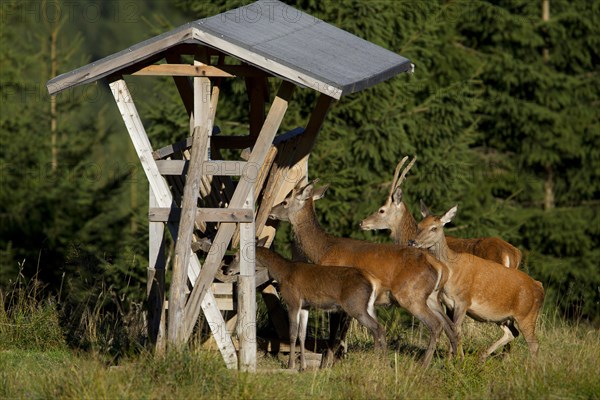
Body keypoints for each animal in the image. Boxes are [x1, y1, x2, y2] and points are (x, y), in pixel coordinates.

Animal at [227, 247, 386, 372]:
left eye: (236, 256)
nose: (227, 270)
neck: (282, 274)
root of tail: (374, 281)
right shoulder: (305, 306)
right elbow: (302, 335)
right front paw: (302, 366)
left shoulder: (293, 301)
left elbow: (292, 334)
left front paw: (290, 365)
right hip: (369, 306)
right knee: (381, 327)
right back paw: (385, 362)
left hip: (355, 305)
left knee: (376, 327)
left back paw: (377, 361)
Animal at [270, 180, 458, 368]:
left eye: (285, 201)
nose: (271, 211)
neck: (323, 250)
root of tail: (439, 265)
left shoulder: (336, 294)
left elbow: (334, 332)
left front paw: (326, 363)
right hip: (431, 297)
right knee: (451, 325)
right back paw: (455, 362)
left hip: (410, 295)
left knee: (436, 325)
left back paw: (423, 365)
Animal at [408, 205, 544, 360]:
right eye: (419, 225)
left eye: (434, 228)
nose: (412, 241)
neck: (452, 271)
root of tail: (540, 287)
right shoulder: (448, 303)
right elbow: (451, 329)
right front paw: (452, 359)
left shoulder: (463, 301)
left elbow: (456, 329)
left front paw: (458, 359)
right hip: (502, 317)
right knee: (512, 333)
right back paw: (482, 356)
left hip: (527, 315)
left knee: (533, 344)